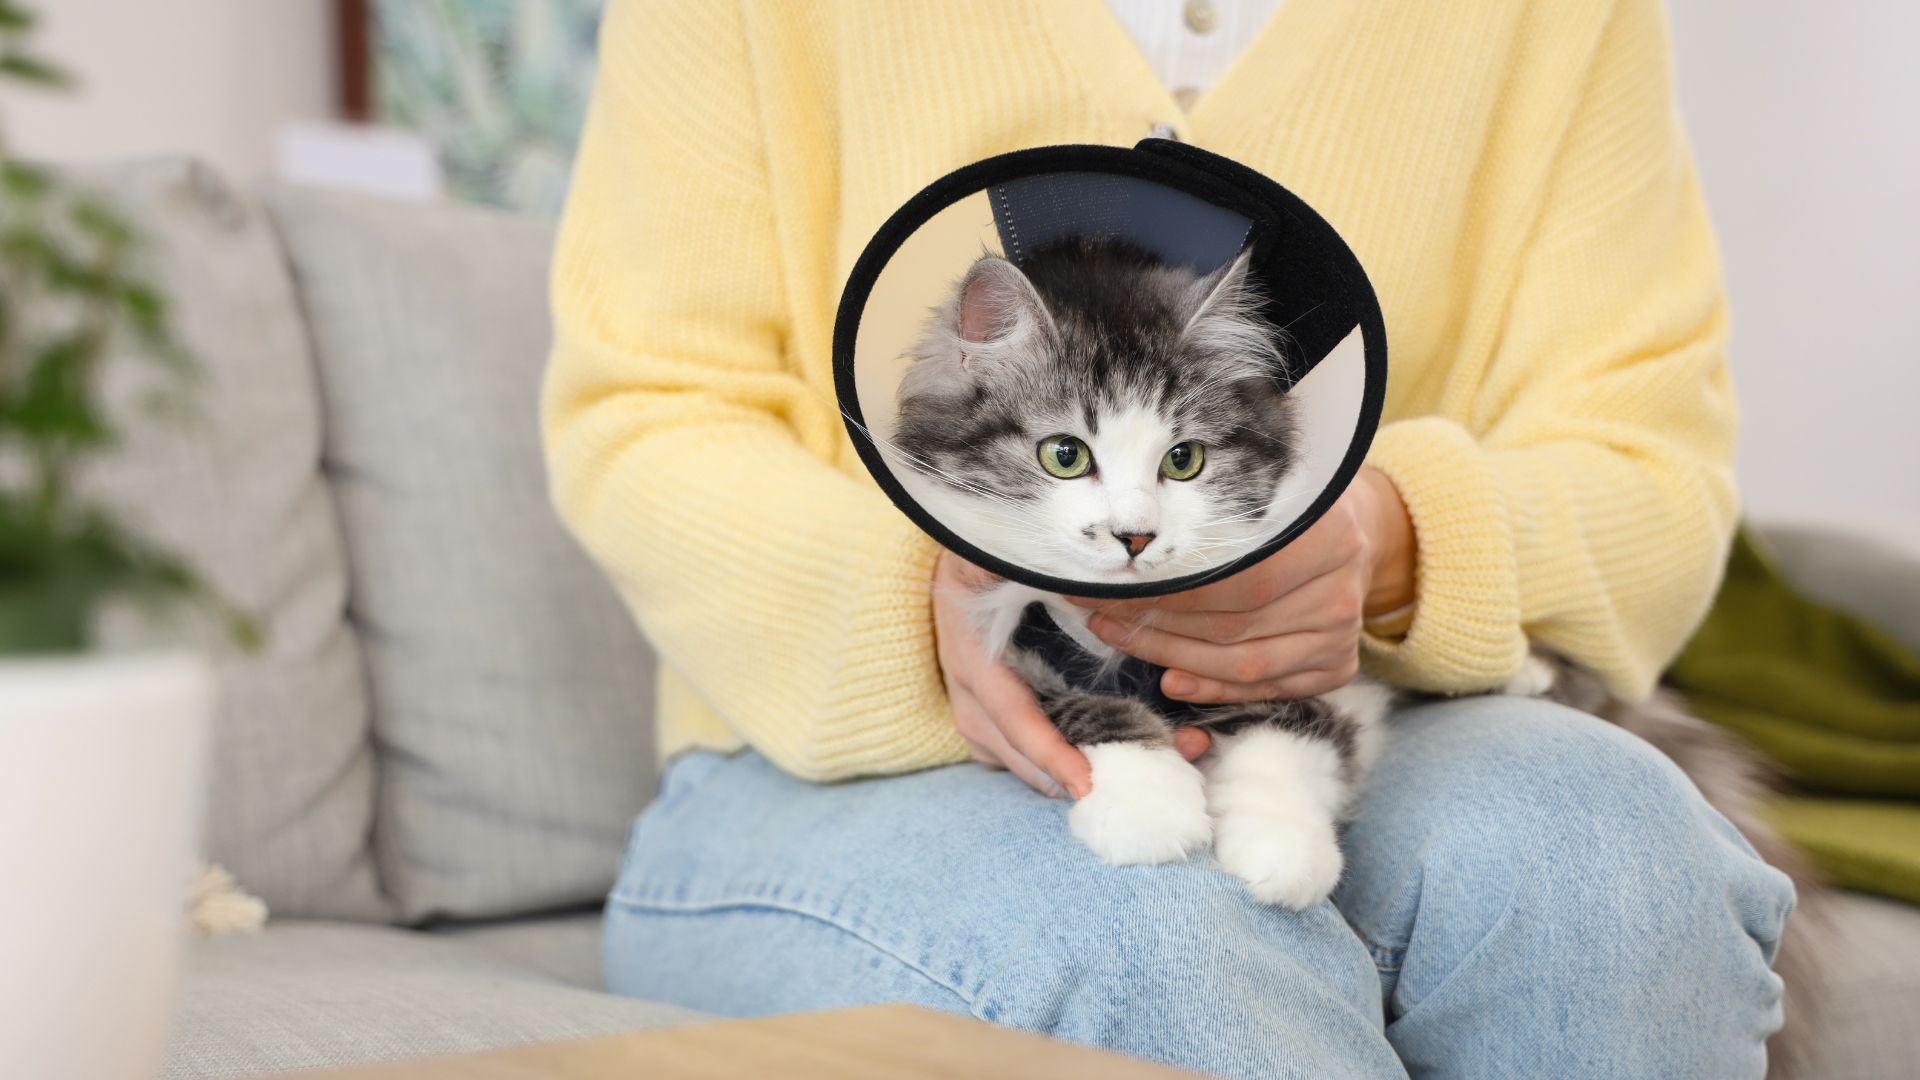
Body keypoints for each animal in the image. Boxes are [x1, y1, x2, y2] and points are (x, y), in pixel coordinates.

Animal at [890, 237, 1390, 907]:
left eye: (1183, 460)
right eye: (1065, 455)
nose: (1135, 537)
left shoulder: (1292, 658)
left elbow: (1292, 732)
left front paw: (1287, 852)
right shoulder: (1018, 629)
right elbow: (1081, 703)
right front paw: (1150, 807)